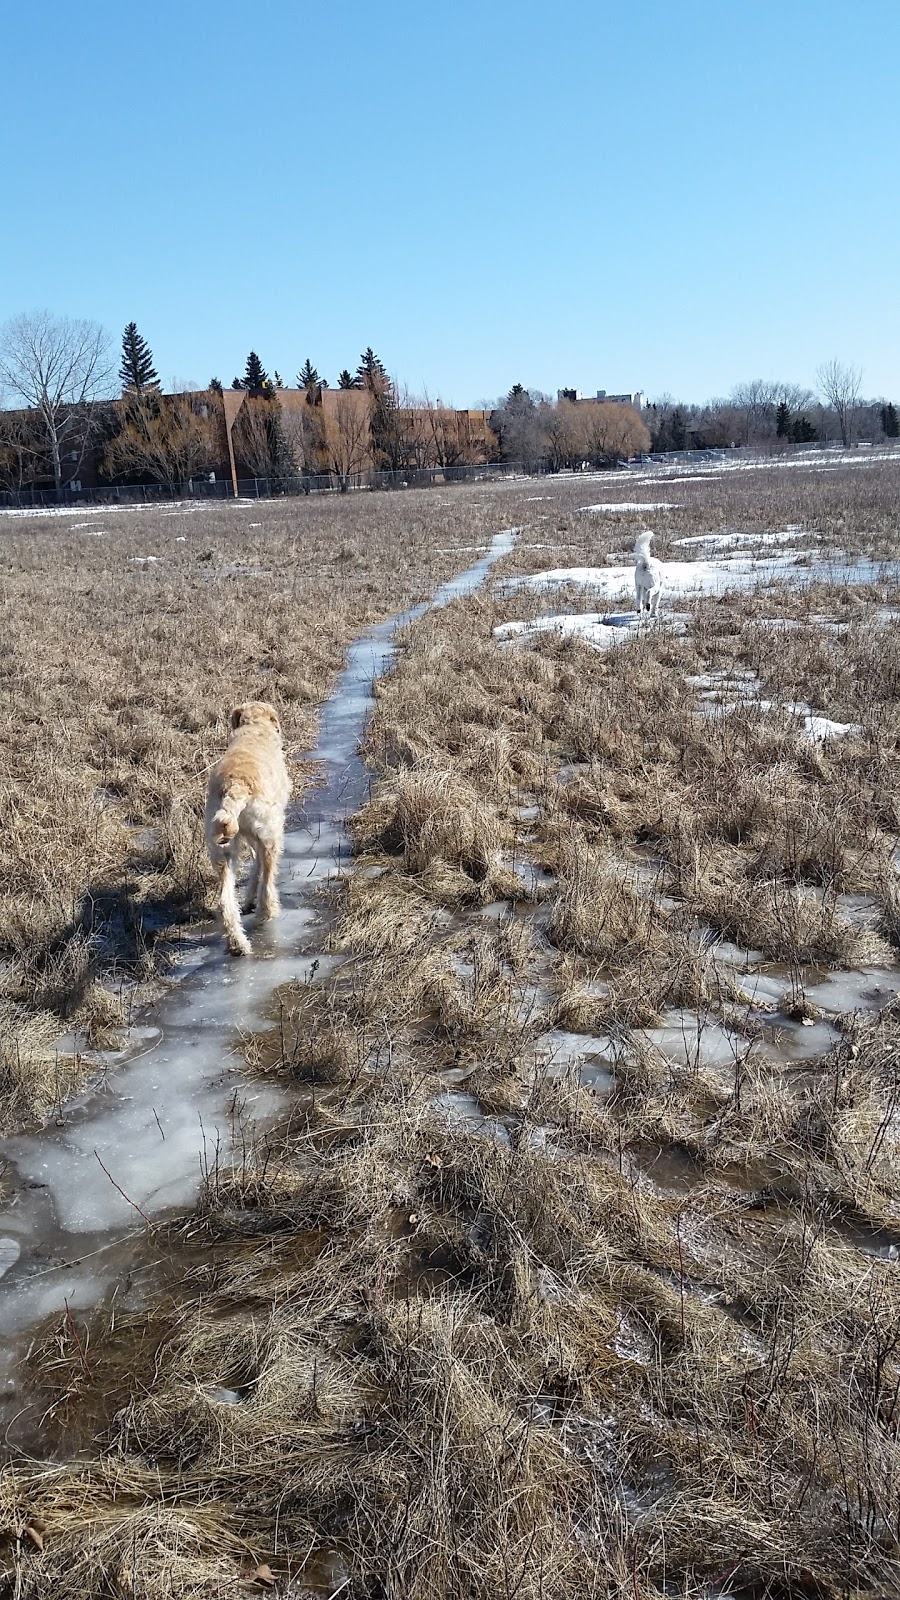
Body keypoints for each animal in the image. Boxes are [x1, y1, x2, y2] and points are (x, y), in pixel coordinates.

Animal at [204, 697, 288, 947]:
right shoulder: (260, 836)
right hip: (271, 835)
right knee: (268, 882)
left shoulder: (247, 837)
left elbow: (254, 866)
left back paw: (238, 944)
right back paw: (267, 913)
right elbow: (259, 868)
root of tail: (236, 784)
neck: (255, 728)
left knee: (224, 902)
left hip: (221, 850)